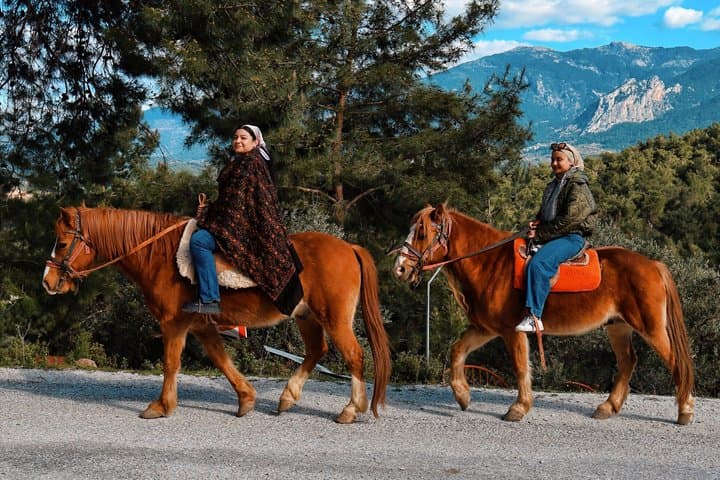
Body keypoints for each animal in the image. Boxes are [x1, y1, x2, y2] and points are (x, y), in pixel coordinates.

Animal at [42, 206, 391, 424]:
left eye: (62, 242)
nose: (47, 281)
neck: (159, 256)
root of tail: (349, 248)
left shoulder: (173, 323)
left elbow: (171, 363)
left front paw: (161, 406)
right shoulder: (201, 326)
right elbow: (221, 360)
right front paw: (246, 399)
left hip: (334, 318)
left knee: (354, 356)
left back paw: (350, 409)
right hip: (306, 316)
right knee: (317, 350)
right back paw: (287, 398)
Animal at [392, 204, 695, 425]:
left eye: (422, 232)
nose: (400, 269)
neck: (490, 264)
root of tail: (653, 265)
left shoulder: (510, 330)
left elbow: (520, 366)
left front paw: (518, 408)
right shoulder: (485, 328)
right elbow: (457, 351)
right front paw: (463, 396)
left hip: (650, 327)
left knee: (675, 361)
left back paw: (685, 411)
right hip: (618, 326)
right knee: (628, 361)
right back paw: (607, 407)